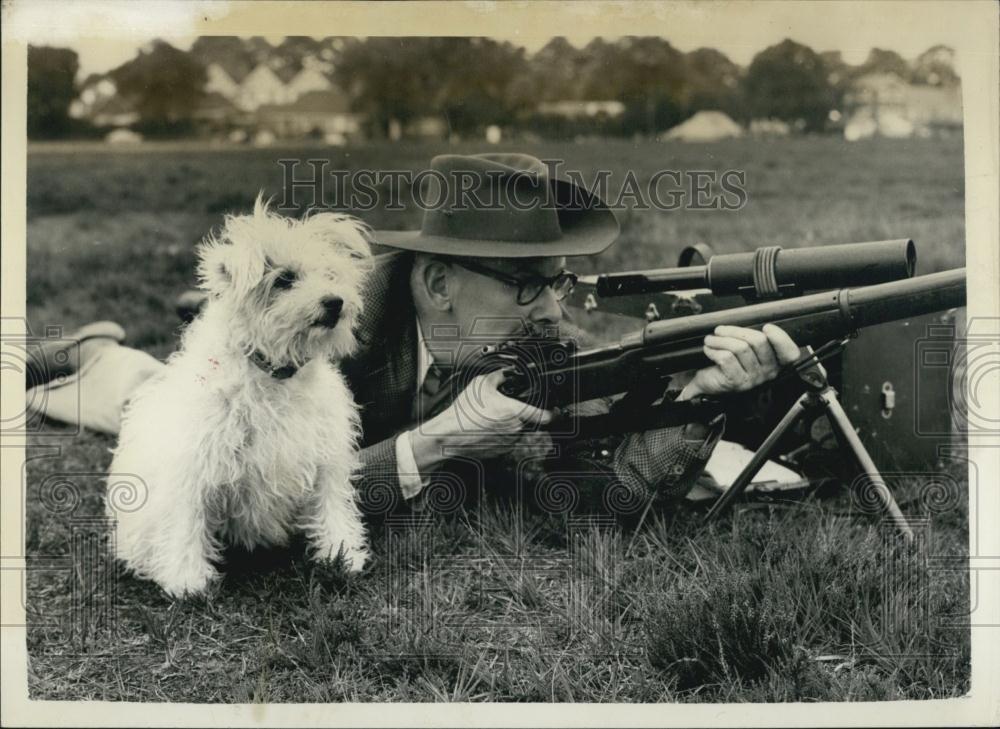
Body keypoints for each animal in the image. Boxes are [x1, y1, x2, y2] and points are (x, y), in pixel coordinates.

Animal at [108, 196, 376, 596]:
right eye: (284, 279)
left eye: (330, 273)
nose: (335, 302)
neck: (273, 373)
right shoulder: (195, 464)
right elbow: (186, 522)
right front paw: (187, 580)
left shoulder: (325, 457)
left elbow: (332, 507)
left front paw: (341, 555)